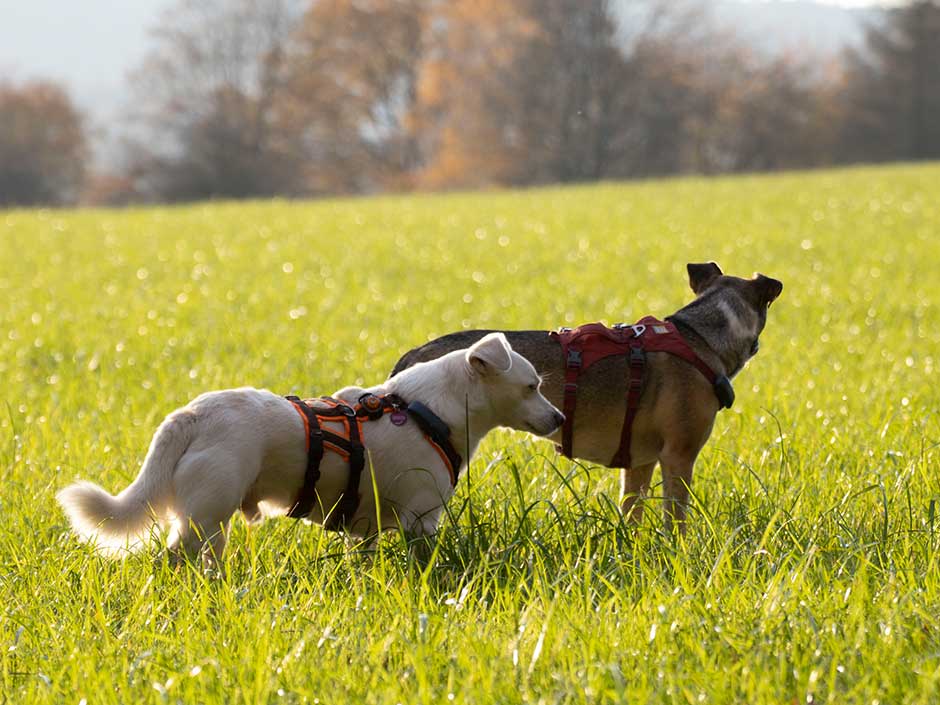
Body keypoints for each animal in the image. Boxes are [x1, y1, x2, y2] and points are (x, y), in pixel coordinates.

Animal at [58, 332, 560, 564]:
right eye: (531, 386)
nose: (559, 419)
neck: (427, 411)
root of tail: (192, 415)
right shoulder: (421, 519)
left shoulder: (367, 527)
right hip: (206, 516)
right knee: (173, 560)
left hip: (210, 523)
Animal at [392, 262, 784, 528]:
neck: (700, 336)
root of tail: (412, 355)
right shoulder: (679, 455)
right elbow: (676, 519)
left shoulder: (640, 461)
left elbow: (633, 513)